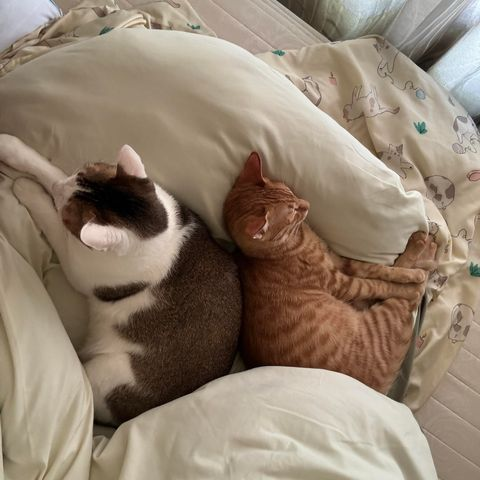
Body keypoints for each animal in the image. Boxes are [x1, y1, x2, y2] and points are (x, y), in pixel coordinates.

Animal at [0, 134, 242, 426]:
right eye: (80, 171)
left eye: (69, 214)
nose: (58, 189)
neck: (154, 230)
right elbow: (50, 170)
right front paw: (12, 150)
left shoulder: (77, 262)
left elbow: (52, 221)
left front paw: (28, 188)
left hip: (108, 376)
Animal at [223, 152, 436, 394]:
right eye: (292, 212)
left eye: (291, 192)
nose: (307, 204)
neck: (288, 244)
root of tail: (378, 390)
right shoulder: (342, 283)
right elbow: (379, 283)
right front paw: (410, 280)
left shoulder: (340, 261)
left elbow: (380, 269)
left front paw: (404, 274)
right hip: (385, 318)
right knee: (411, 299)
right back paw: (423, 252)